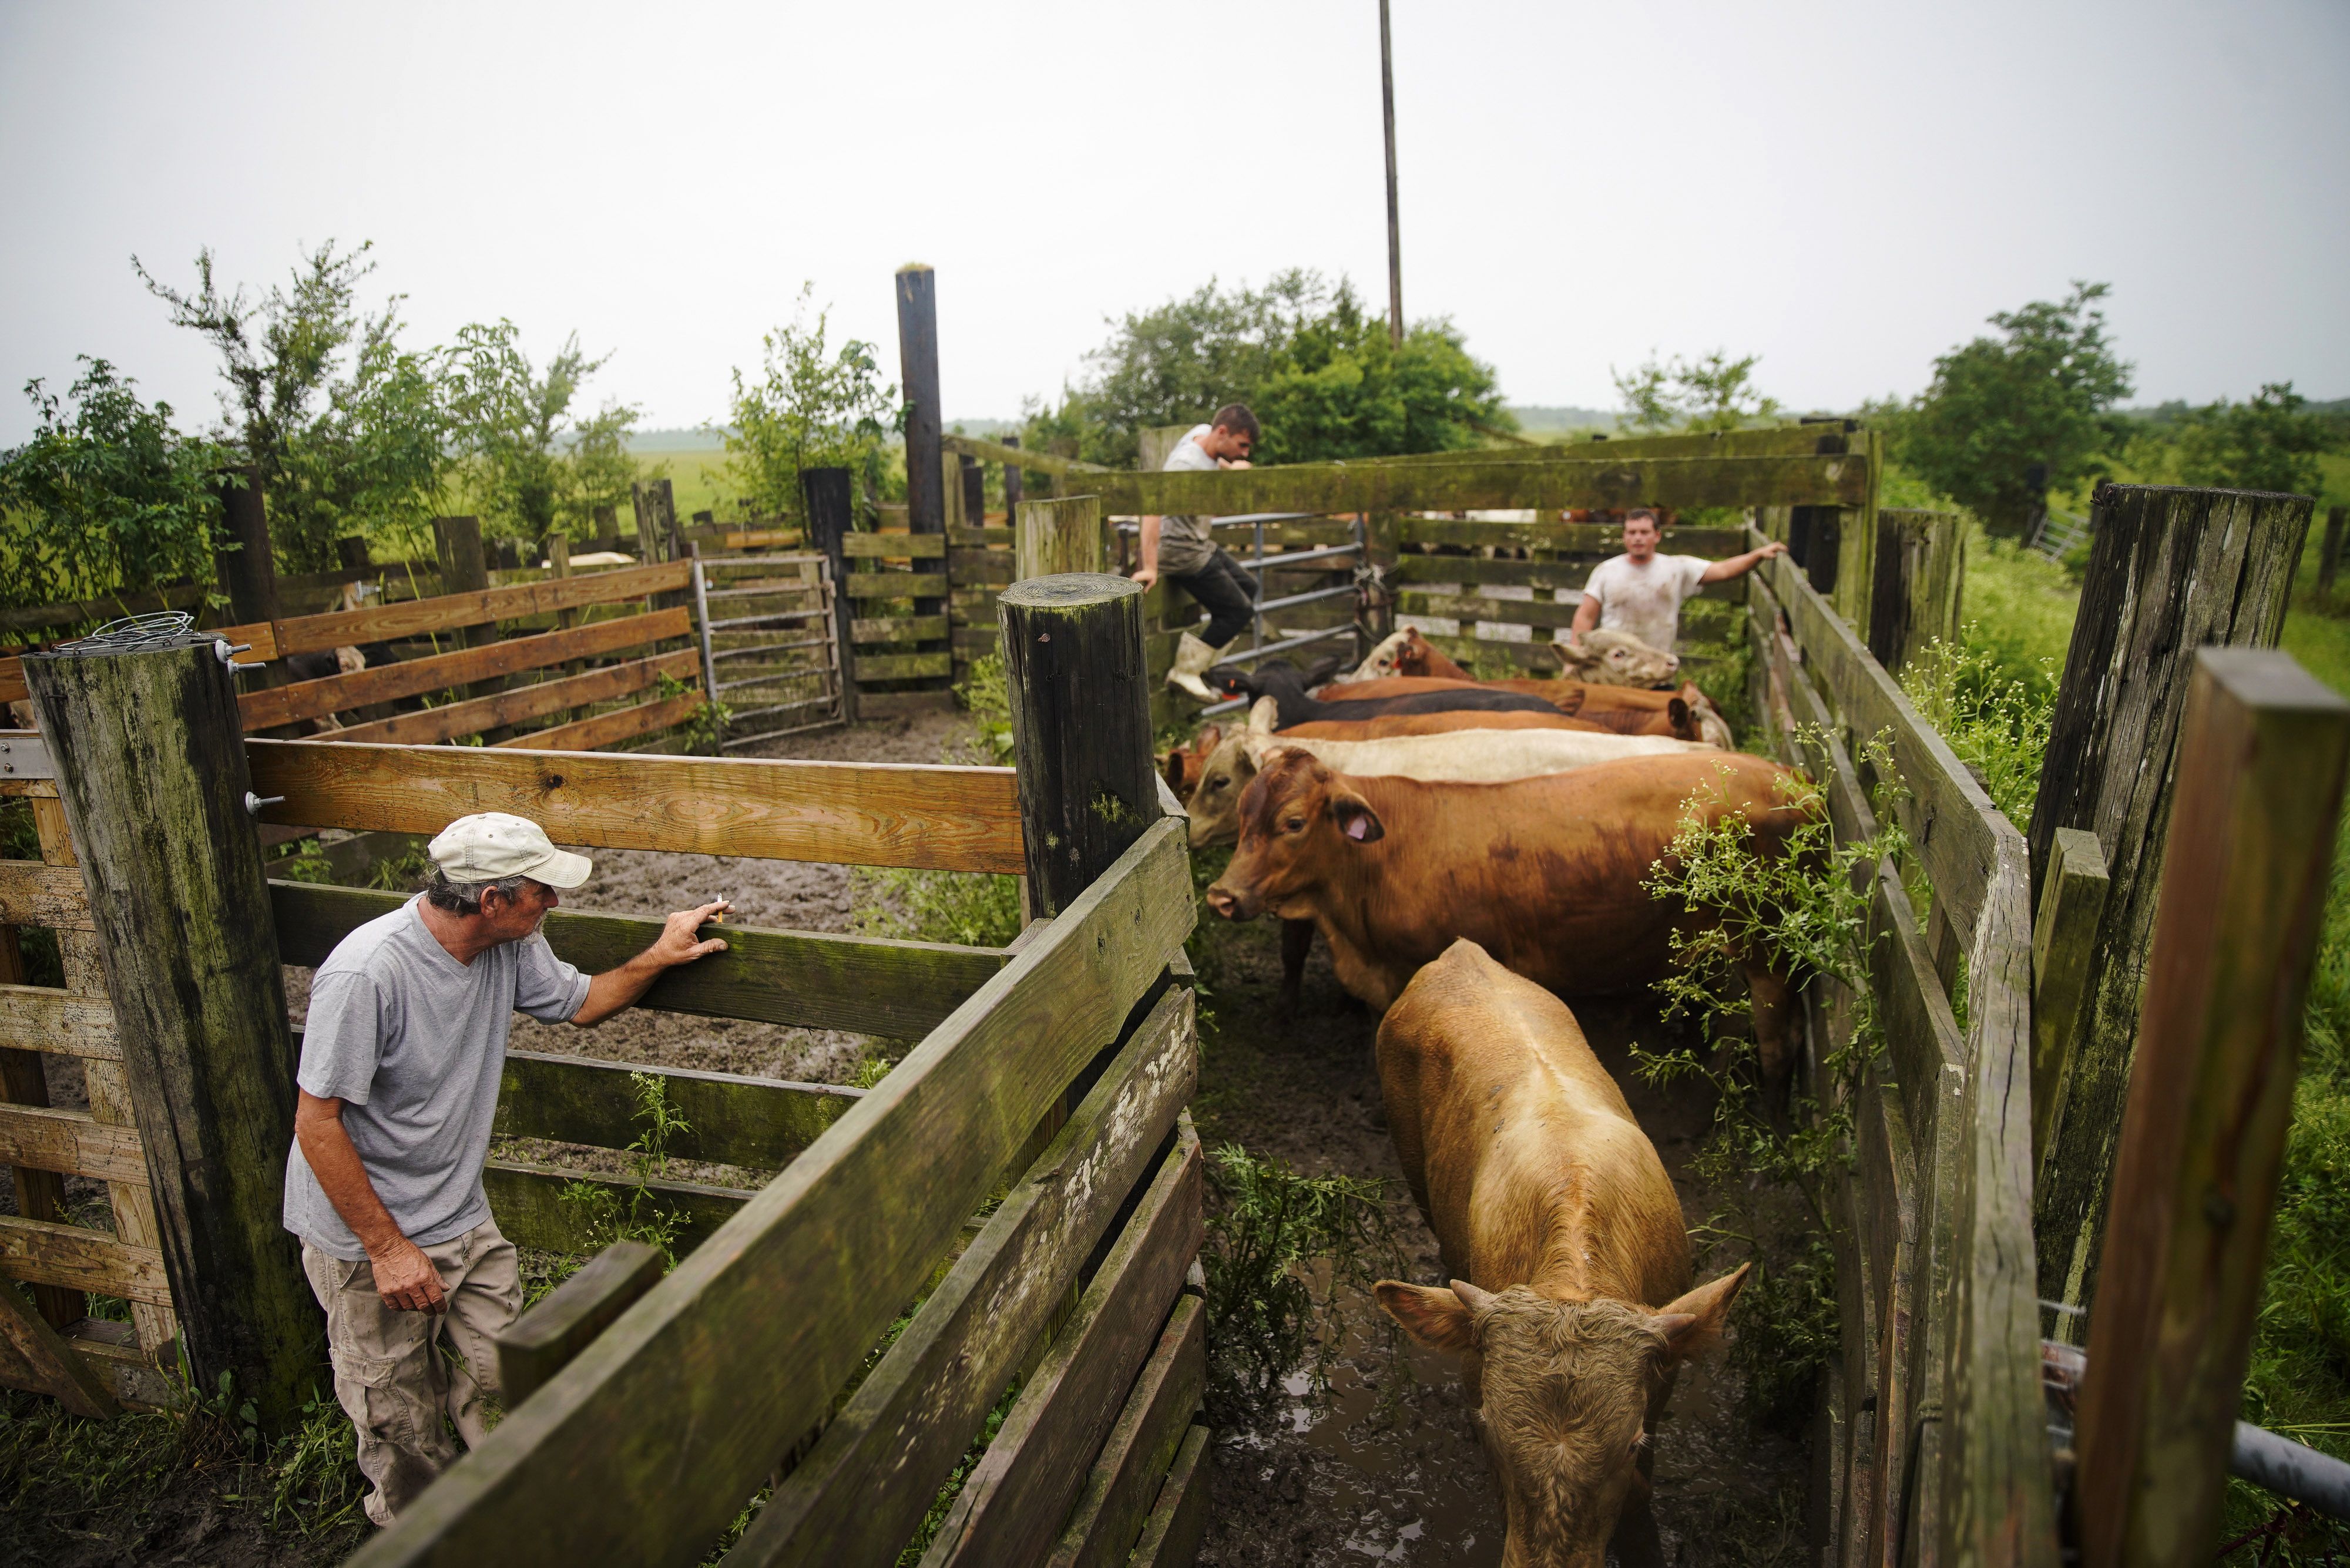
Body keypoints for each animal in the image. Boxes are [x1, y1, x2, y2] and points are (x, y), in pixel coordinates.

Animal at [1203, 752, 1805, 1086]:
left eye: (1293, 822)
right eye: (1243, 815)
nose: (1221, 896)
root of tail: (1791, 779)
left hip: (1766, 952)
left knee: (1776, 1039)